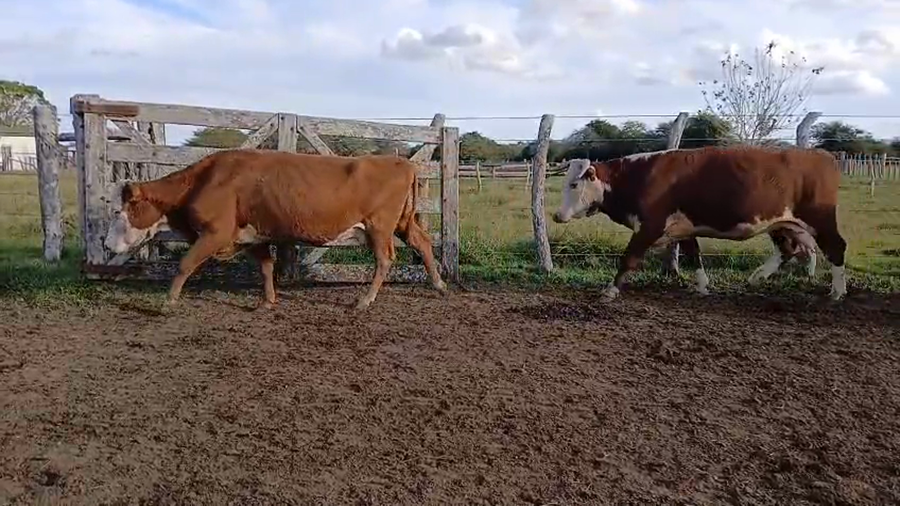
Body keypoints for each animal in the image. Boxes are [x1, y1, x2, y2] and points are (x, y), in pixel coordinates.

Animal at [103, 149, 448, 309]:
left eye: (120, 210)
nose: (106, 245)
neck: (204, 180)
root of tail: (404, 163)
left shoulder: (215, 233)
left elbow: (185, 264)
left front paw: (169, 300)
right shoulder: (252, 235)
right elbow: (267, 266)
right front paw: (267, 300)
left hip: (379, 226)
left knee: (384, 259)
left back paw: (365, 300)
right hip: (402, 223)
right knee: (423, 243)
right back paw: (439, 284)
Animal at [550, 146, 846, 301]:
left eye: (574, 184)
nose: (557, 215)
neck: (640, 176)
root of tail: (822, 154)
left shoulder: (649, 227)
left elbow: (629, 258)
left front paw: (610, 290)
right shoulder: (683, 228)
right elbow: (694, 255)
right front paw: (703, 286)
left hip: (820, 220)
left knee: (836, 248)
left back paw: (837, 291)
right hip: (780, 223)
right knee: (787, 250)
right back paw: (756, 278)